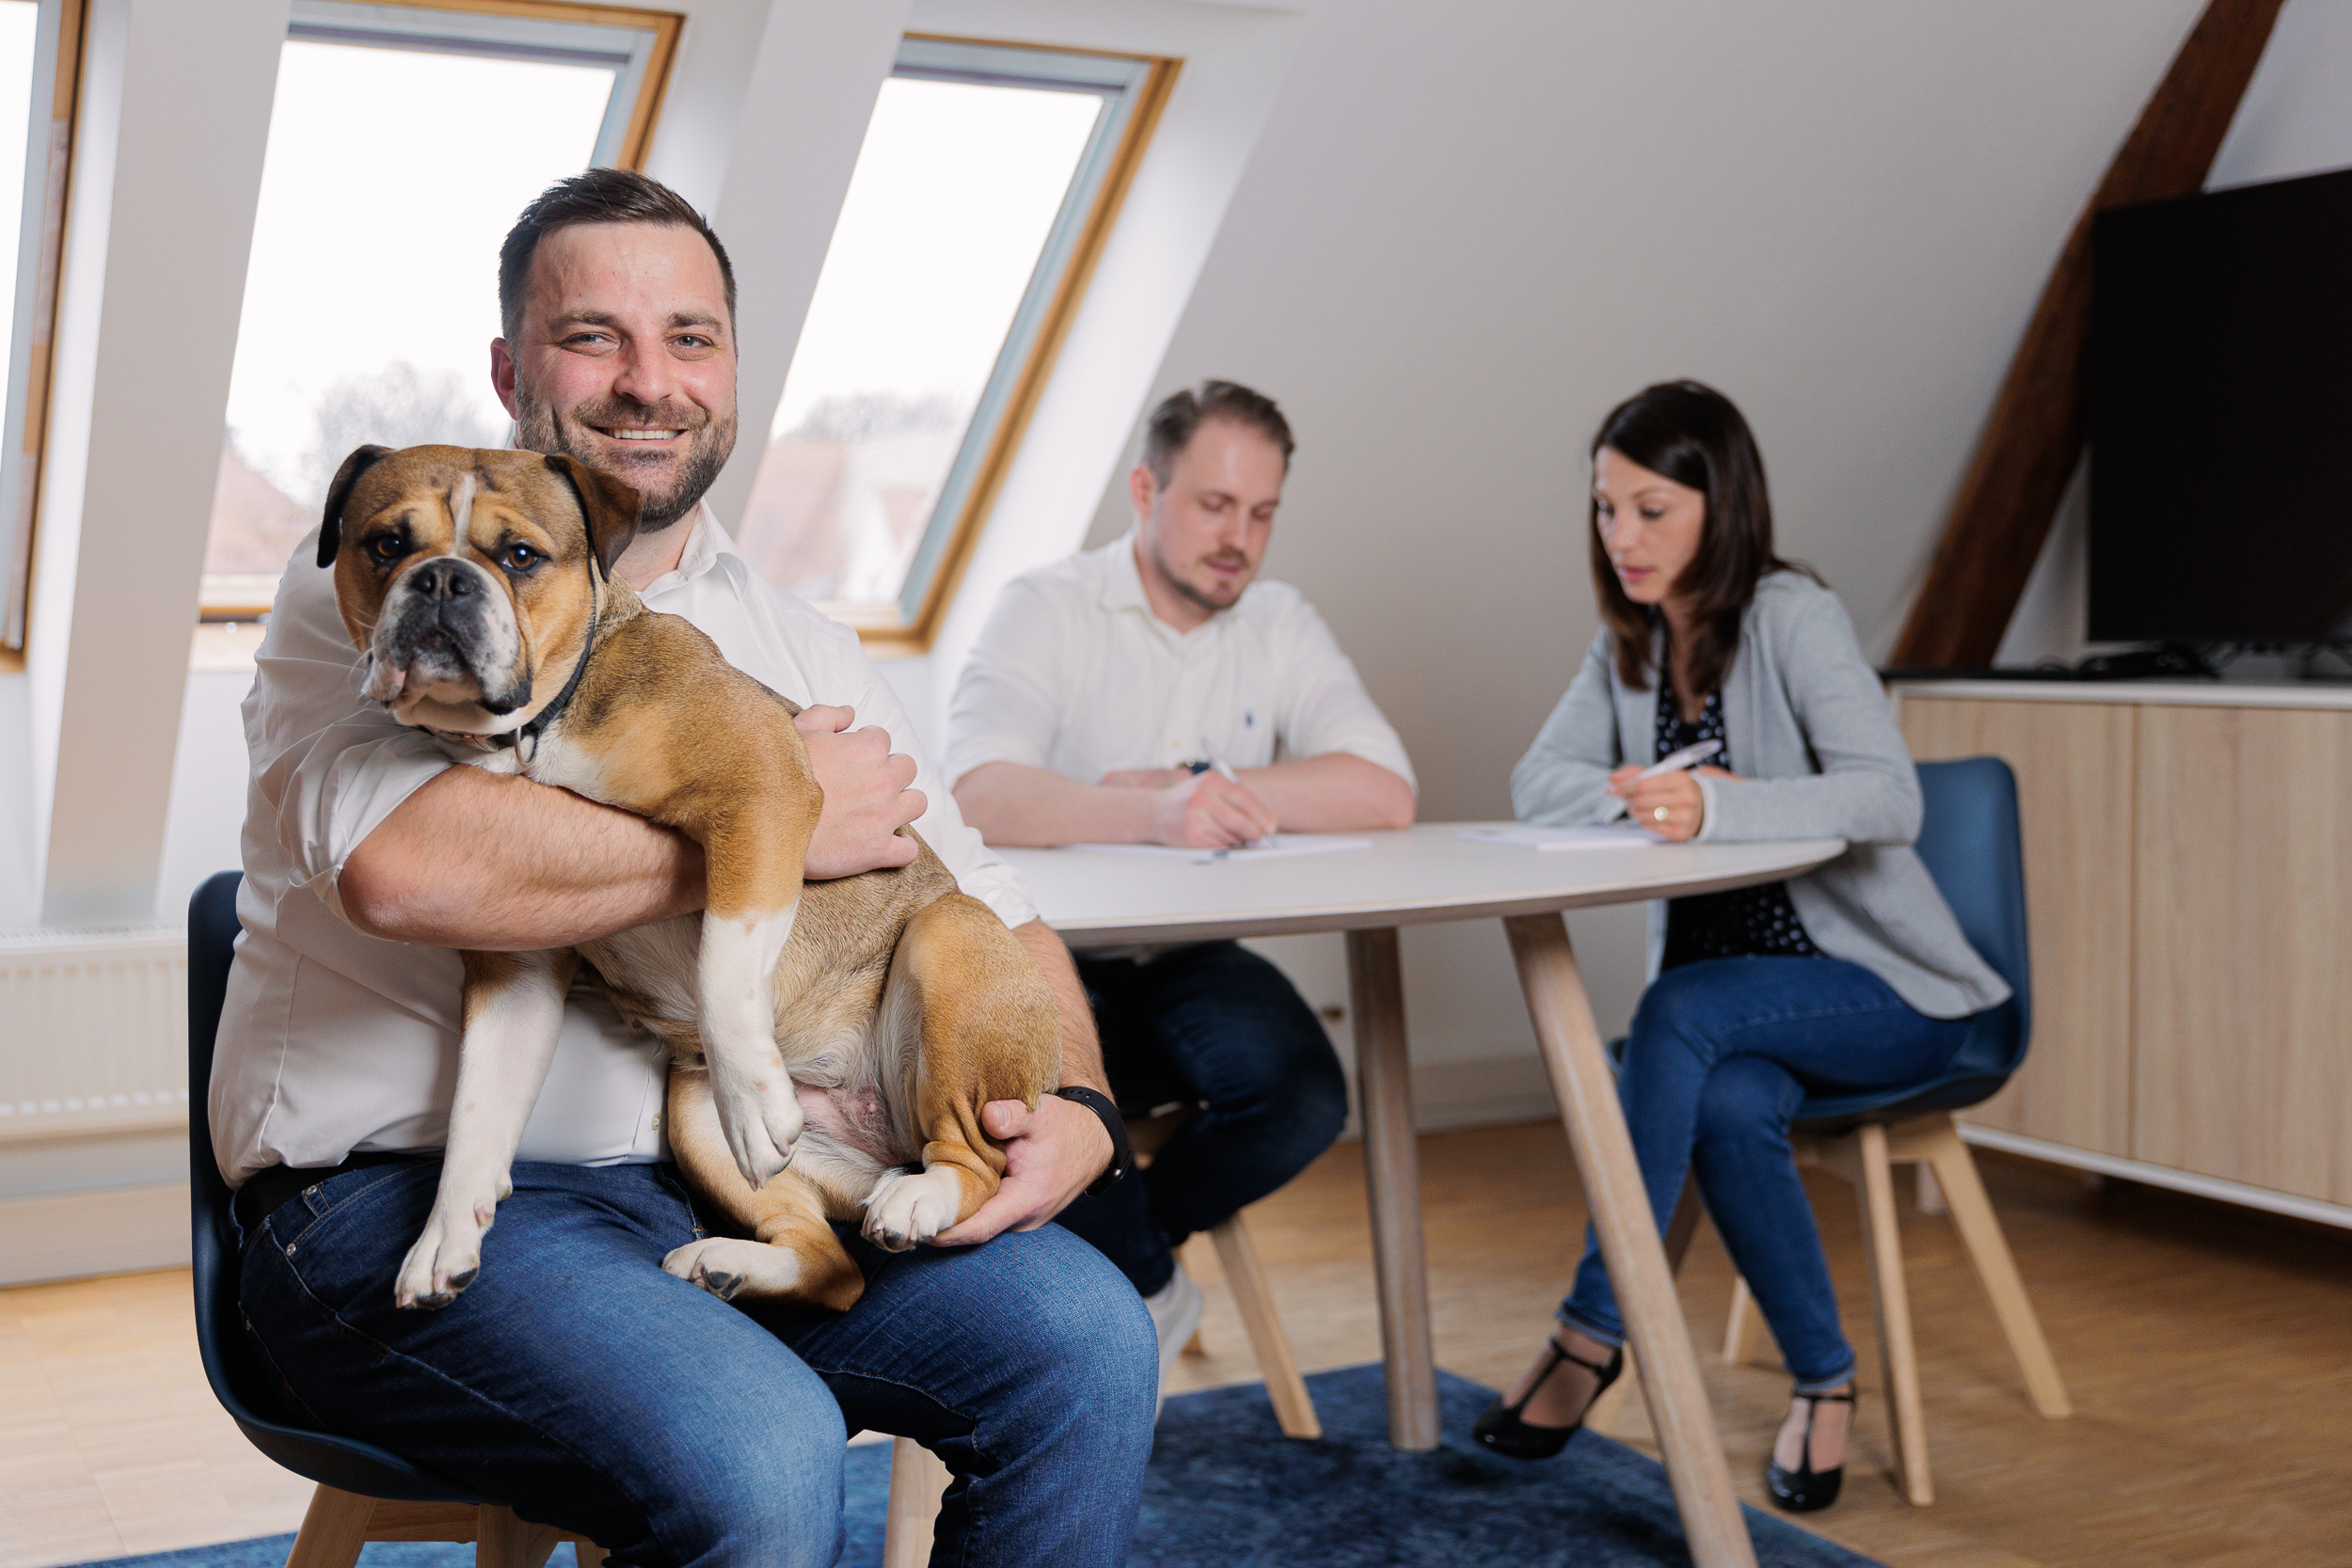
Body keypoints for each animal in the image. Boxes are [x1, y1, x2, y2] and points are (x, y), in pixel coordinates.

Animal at [317, 443, 1060, 1312]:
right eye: (386, 545)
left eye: (521, 556)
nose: (440, 578)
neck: (537, 727)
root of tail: (886, 1142)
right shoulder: (517, 978)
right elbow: (477, 1109)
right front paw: (444, 1238)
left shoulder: (761, 786)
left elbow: (723, 963)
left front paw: (754, 1094)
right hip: (694, 1119)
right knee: (832, 1266)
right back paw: (732, 1262)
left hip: (949, 943)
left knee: (979, 1162)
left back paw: (920, 1195)